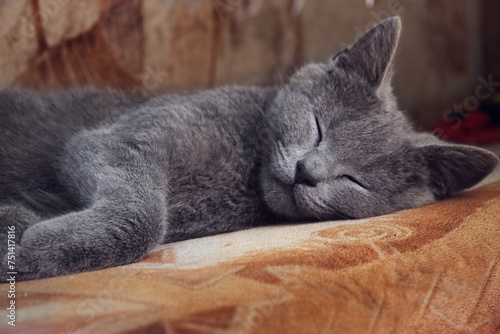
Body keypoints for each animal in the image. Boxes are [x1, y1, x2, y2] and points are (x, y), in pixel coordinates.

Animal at [1, 17, 498, 280]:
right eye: (318, 127)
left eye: (353, 180)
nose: (305, 171)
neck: (243, 170)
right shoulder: (122, 138)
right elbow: (143, 213)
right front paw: (31, 247)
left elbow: (147, 220)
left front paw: (25, 239)